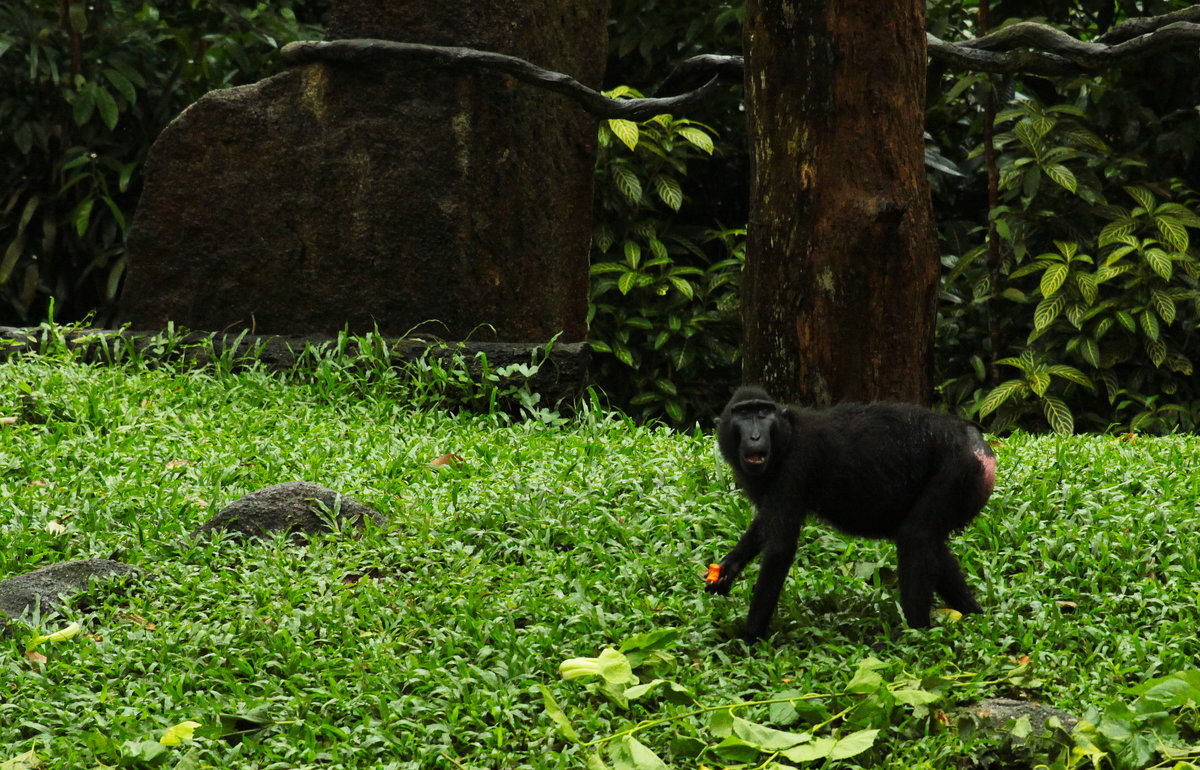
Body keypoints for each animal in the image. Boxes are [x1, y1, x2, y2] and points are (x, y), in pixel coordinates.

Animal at [700, 383, 993, 633]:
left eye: (762, 413)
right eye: (743, 413)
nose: (755, 435)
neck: (786, 437)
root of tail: (980, 447)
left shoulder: (795, 463)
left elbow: (779, 549)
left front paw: (750, 638)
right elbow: (765, 524)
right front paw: (729, 567)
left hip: (960, 470)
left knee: (916, 538)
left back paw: (916, 633)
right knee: (931, 544)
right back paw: (973, 614)